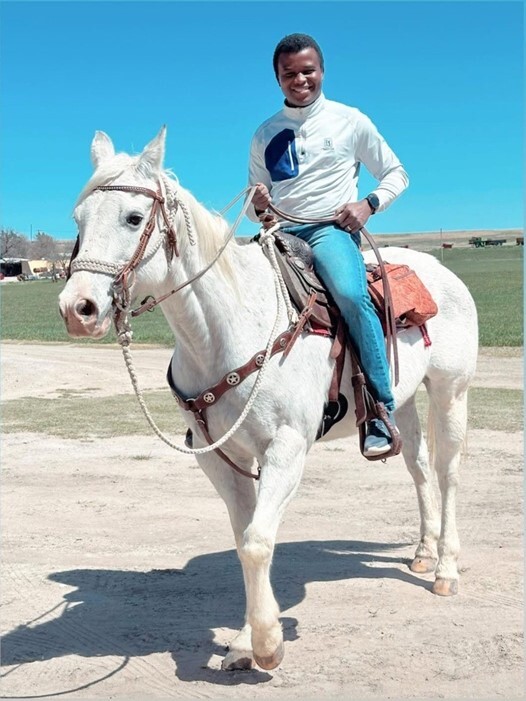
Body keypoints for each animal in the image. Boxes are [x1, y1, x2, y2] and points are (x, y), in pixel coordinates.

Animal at [59, 127, 478, 671]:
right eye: (78, 221)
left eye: (133, 218)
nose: (77, 309)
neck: (227, 329)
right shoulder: (221, 457)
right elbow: (244, 538)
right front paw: (244, 639)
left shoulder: (287, 449)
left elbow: (258, 541)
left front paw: (265, 643)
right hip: (402, 402)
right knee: (419, 467)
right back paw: (424, 551)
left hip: (451, 391)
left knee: (448, 473)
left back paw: (446, 568)